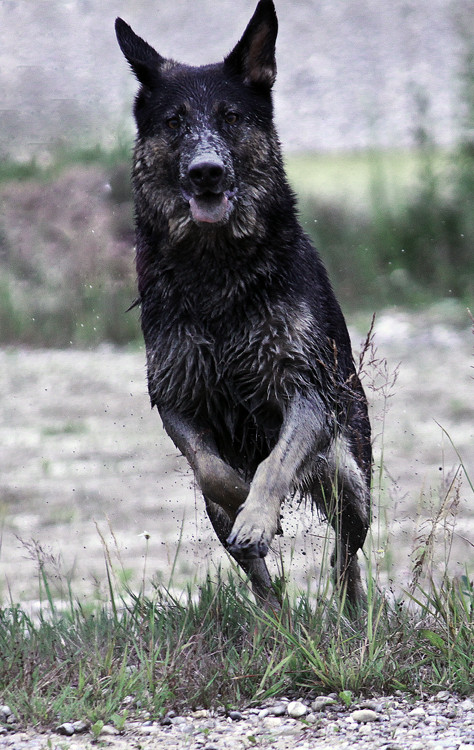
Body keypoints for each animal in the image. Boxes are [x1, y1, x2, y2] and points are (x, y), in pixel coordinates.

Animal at [115, 0, 370, 612]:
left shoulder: (304, 388)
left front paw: (258, 512)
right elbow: (215, 473)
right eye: (175, 121)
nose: (206, 171)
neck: (218, 274)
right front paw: (247, 508)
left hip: (352, 476)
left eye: (231, 117)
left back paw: (351, 614)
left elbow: (275, 464)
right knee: (261, 581)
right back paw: (277, 618)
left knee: (346, 551)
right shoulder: (177, 396)